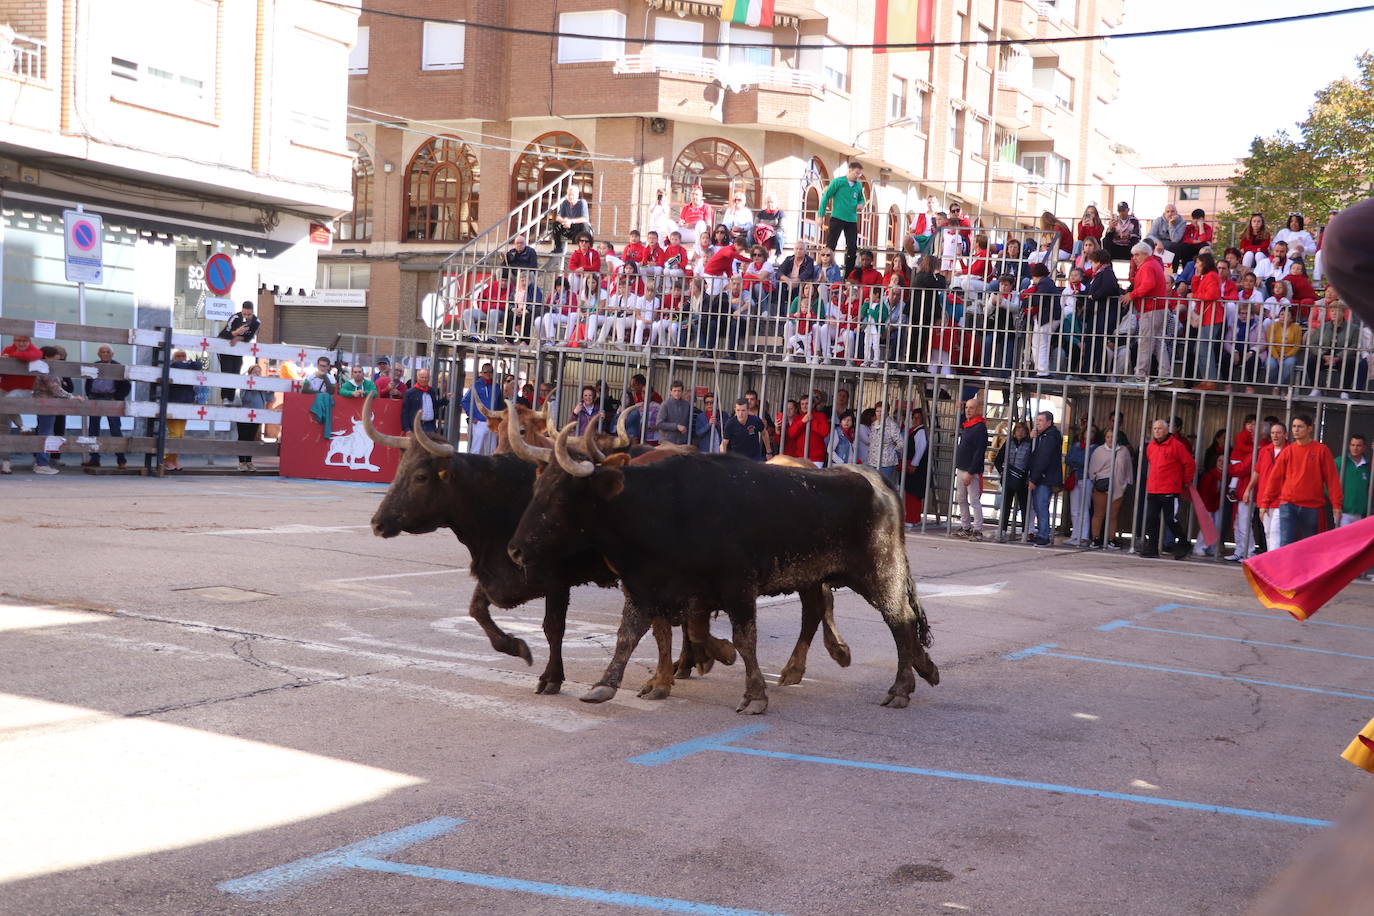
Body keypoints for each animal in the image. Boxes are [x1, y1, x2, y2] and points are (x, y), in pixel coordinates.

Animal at [365, 398, 846, 694]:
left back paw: (805, 660)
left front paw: (550, 676)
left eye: (421, 476)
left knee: (816, 602)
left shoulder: (554, 578)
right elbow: (477, 610)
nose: (377, 521)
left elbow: (553, 627)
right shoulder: (503, 570)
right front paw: (515, 648)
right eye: (400, 470)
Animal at [511, 447, 939, 714]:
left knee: (899, 621)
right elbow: (631, 636)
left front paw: (753, 695)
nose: (515, 550)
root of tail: (874, 480)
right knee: (837, 612)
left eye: (560, 497)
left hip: (878, 572)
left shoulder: (737, 589)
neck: (659, 506)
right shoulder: (652, 587)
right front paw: (605, 685)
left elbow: (743, 639)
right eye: (535, 488)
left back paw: (900, 688)